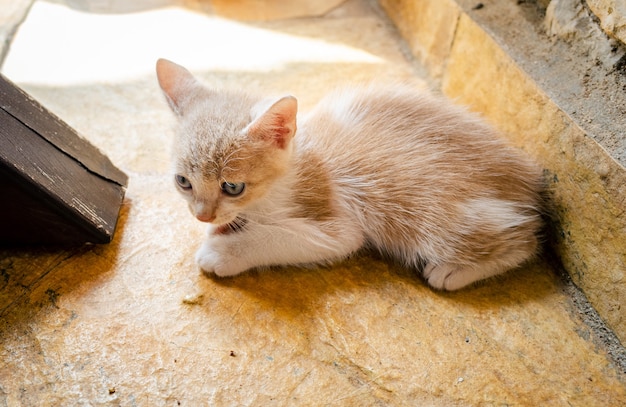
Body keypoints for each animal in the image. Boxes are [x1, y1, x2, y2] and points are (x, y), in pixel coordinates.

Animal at [156, 59, 540, 292]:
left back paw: (454, 271)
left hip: (432, 214)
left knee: (528, 240)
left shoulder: (337, 225)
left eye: (232, 186)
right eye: (183, 182)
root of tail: (526, 180)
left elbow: (279, 238)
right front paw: (222, 228)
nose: (202, 214)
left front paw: (223, 251)